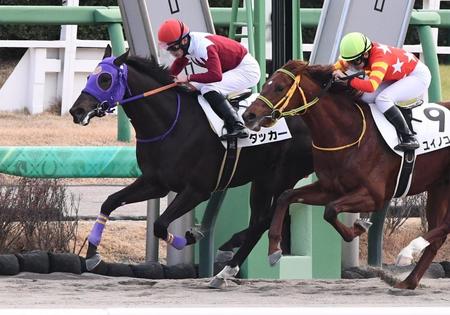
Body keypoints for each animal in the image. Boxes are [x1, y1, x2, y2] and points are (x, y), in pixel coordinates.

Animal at [68, 46, 312, 284]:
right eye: (89, 77)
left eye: (105, 79)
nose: (76, 111)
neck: (172, 123)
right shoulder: (155, 182)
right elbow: (110, 202)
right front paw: (92, 255)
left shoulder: (197, 190)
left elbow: (160, 224)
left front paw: (190, 236)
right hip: (262, 179)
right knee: (260, 220)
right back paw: (228, 258)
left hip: (282, 176)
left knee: (267, 218)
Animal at [243, 60, 450, 290]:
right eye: (266, 84)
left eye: (279, 87)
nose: (248, 116)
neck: (348, 132)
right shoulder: (329, 188)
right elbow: (285, 196)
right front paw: (273, 250)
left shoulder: (374, 196)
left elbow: (331, 210)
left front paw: (359, 227)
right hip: (439, 187)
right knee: (439, 234)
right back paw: (408, 281)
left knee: (444, 226)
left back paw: (408, 252)